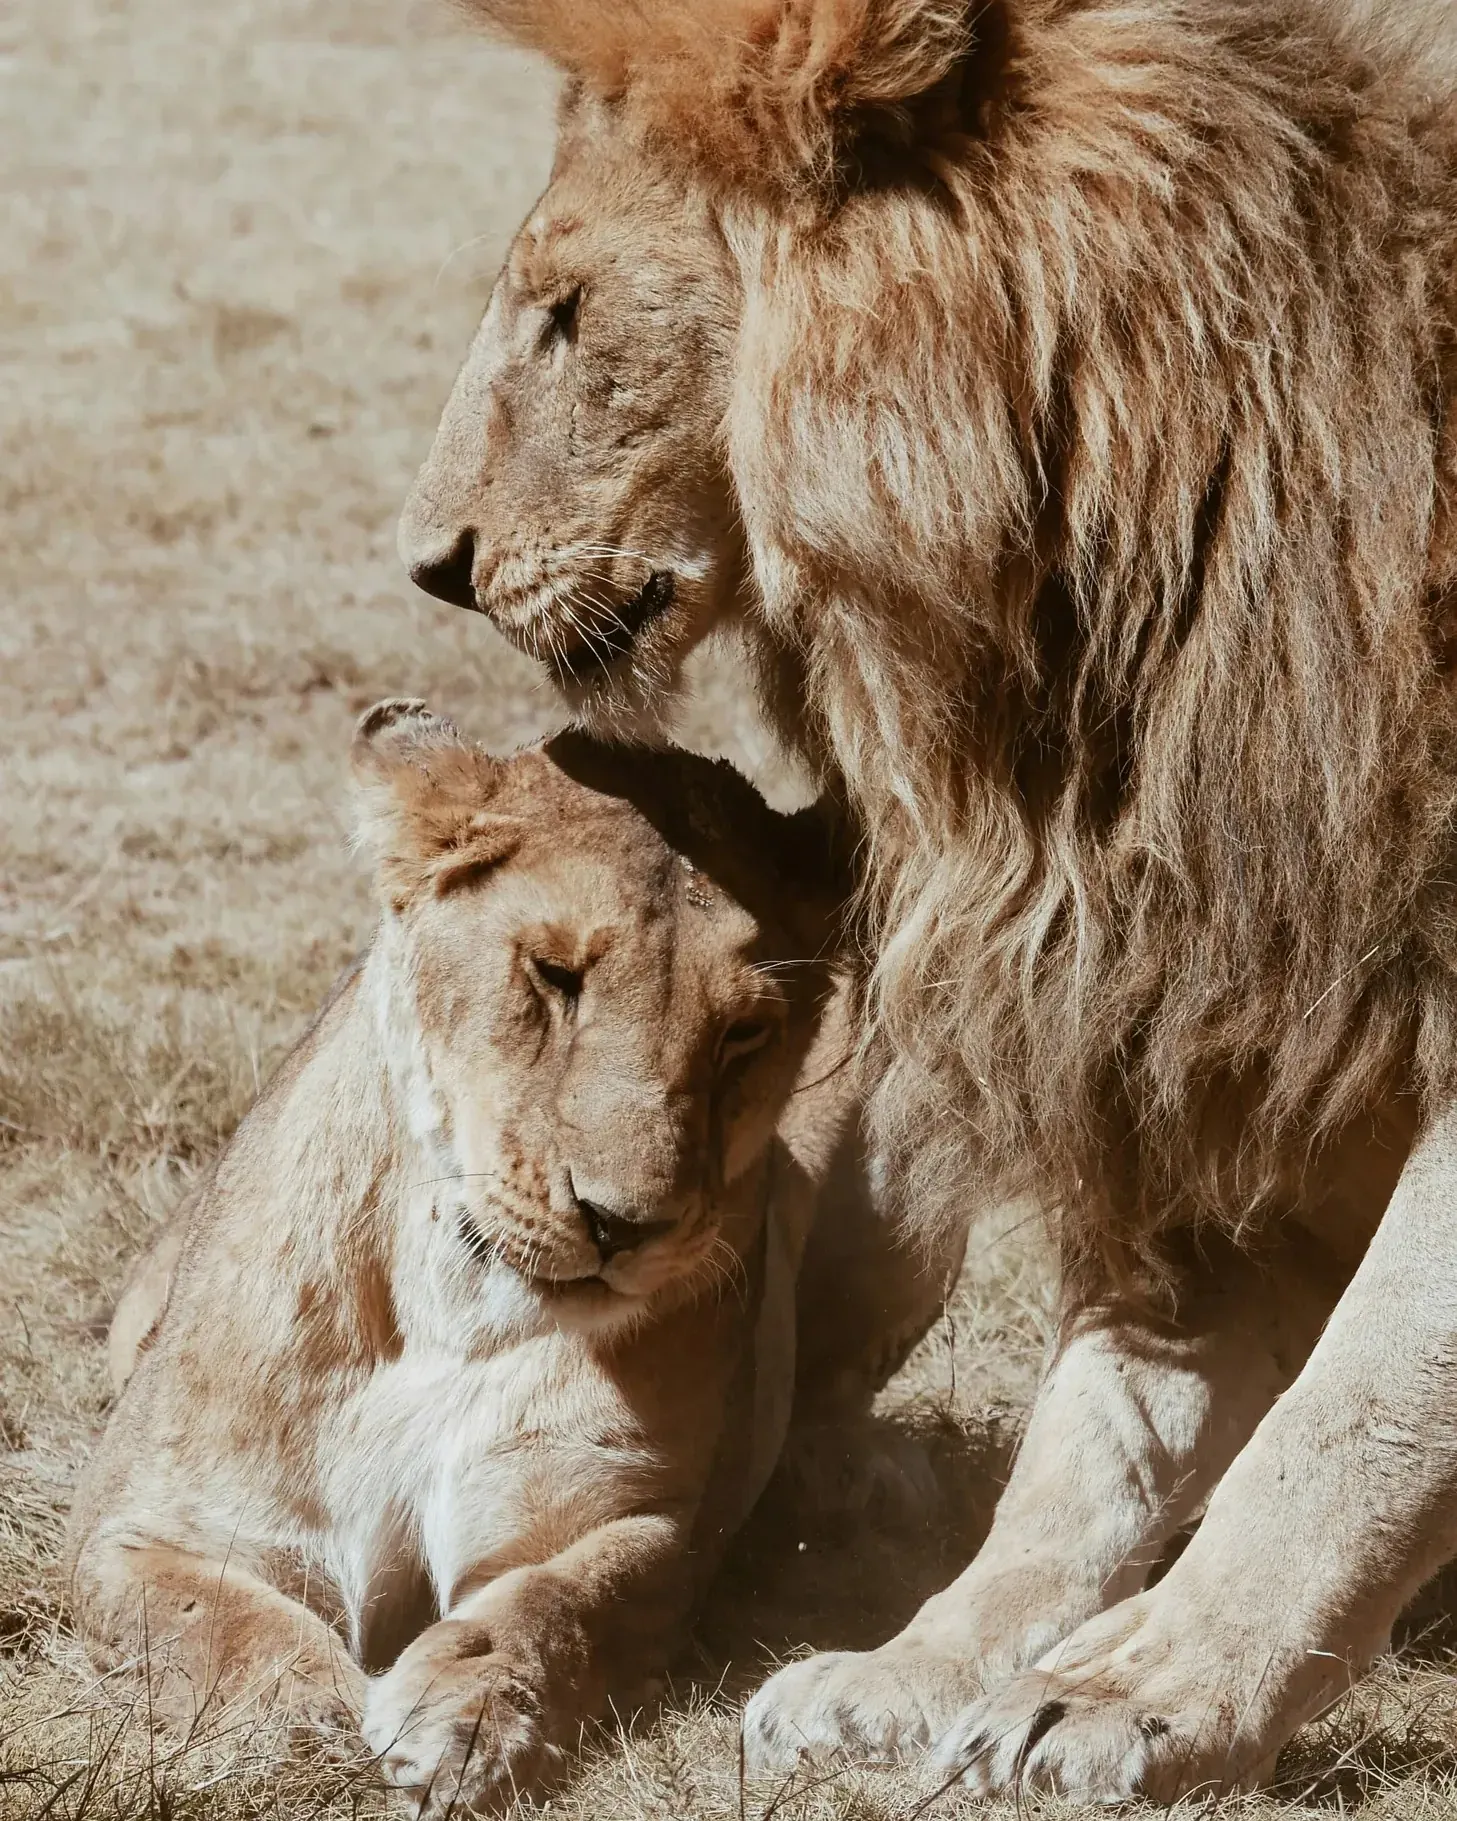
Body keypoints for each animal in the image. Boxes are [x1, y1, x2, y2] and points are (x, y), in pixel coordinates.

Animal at [68, 699, 949, 1813]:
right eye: (553, 975)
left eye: (744, 1031)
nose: (624, 1223)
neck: (449, 1302)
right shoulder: (145, 1527)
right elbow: (217, 1622)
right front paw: (301, 1715)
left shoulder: (633, 1516)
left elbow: (552, 1605)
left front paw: (465, 1723)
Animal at [397, 0, 1457, 1799]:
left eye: (565, 310)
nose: (435, 562)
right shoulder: (1192, 1010)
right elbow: (1103, 1429)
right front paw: (932, 1668)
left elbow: (1357, 1407)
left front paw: (1145, 1690)